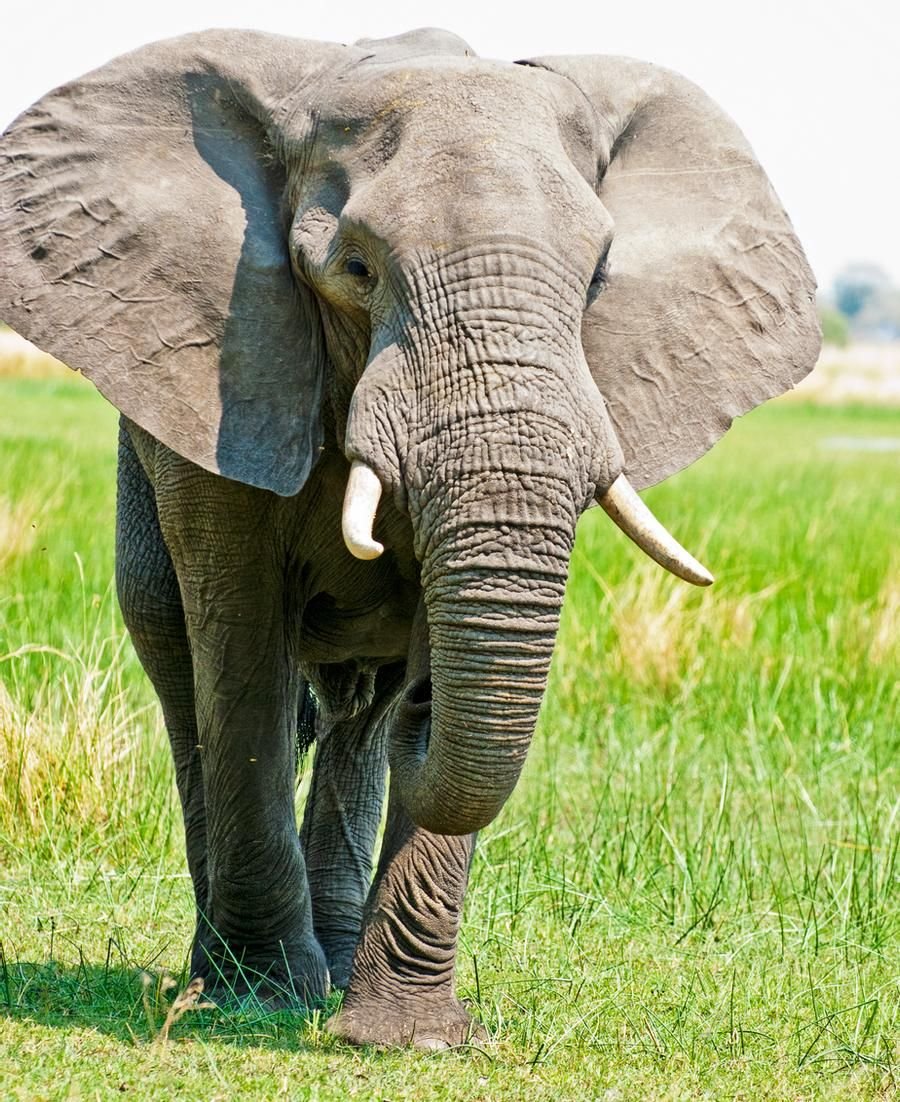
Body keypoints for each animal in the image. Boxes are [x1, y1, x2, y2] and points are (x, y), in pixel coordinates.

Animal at [0, 27, 819, 1047]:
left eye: (596, 278)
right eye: (356, 269)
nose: (429, 701)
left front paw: (406, 1038)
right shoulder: (229, 371)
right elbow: (242, 649)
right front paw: (262, 999)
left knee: (353, 724)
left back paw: (336, 953)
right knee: (185, 668)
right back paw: (227, 974)